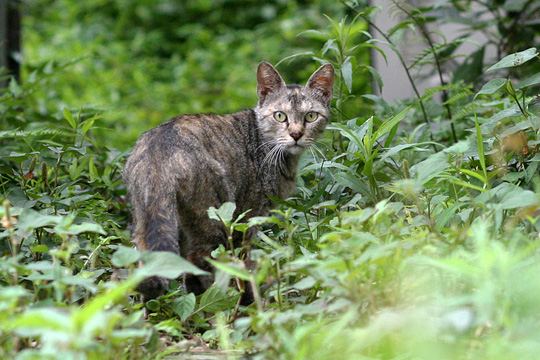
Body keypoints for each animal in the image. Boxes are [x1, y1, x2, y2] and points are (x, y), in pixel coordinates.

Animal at [123, 62, 334, 298]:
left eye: (311, 116)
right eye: (280, 116)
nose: (296, 134)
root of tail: (161, 149)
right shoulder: (247, 218)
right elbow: (243, 265)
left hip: (148, 219)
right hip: (214, 219)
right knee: (199, 266)